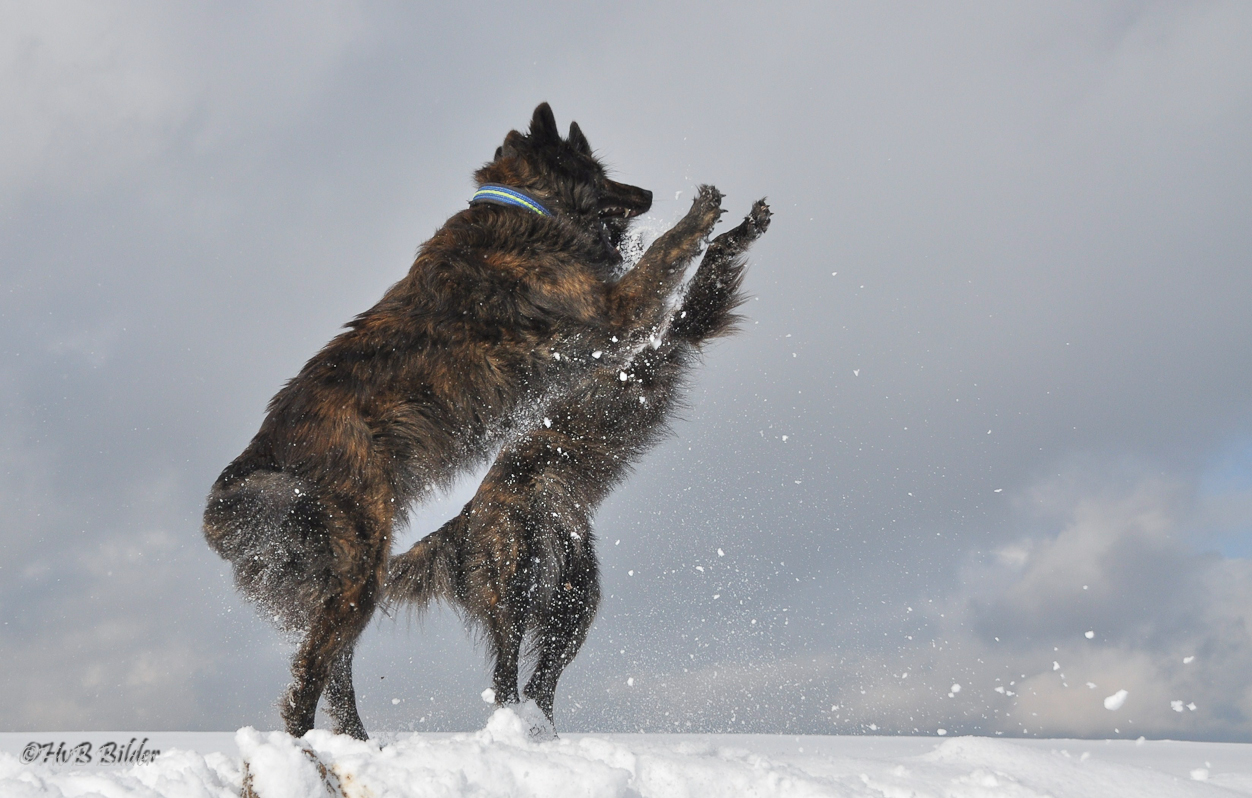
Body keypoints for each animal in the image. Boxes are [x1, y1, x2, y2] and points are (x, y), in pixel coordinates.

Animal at [385, 197, 766, 726]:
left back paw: (541, 726)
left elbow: (709, 275)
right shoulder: (662, 340)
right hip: (514, 573)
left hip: (575, 590)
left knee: (542, 677)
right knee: (507, 671)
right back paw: (514, 724)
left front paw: (748, 224)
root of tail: (461, 521)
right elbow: (698, 280)